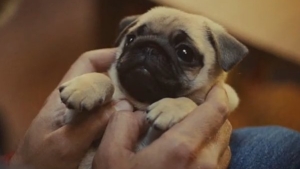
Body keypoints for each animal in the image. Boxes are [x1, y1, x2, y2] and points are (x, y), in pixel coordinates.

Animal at [58, 5, 248, 169]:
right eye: (131, 39)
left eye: (185, 53)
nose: (150, 47)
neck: (141, 102)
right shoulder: (73, 118)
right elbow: (105, 79)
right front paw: (85, 87)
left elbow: (190, 101)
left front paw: (171, 106)